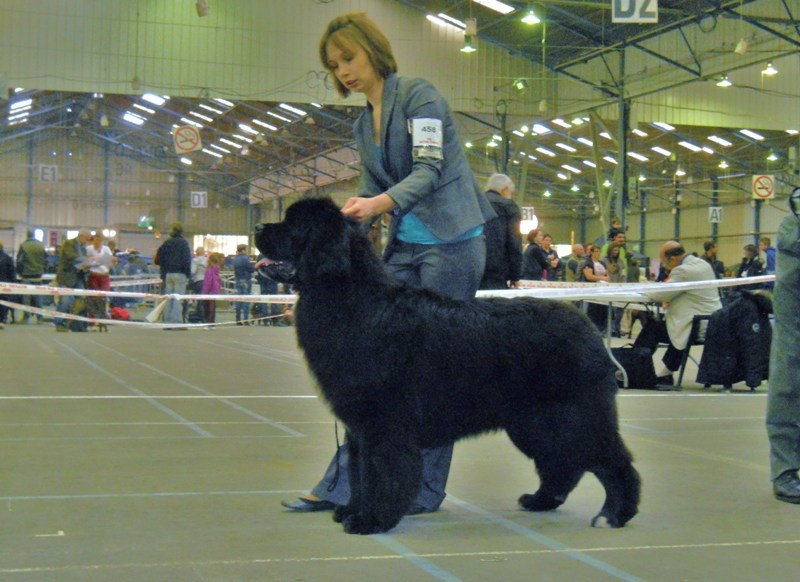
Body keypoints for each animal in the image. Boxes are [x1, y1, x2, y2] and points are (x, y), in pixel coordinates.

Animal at [255, 197, 640, 535]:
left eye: (292, 224)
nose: (258, 226)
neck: (352, 298)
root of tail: (586, 326)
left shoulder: (384, 421)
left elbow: (382, 471)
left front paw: (371, 520)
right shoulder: (360, 425)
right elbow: (360, 470)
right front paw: (353, 509)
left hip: (575, 416)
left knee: (613, 461)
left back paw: (615, 514)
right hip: (534, 423)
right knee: (562, 464)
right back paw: (541, 500)